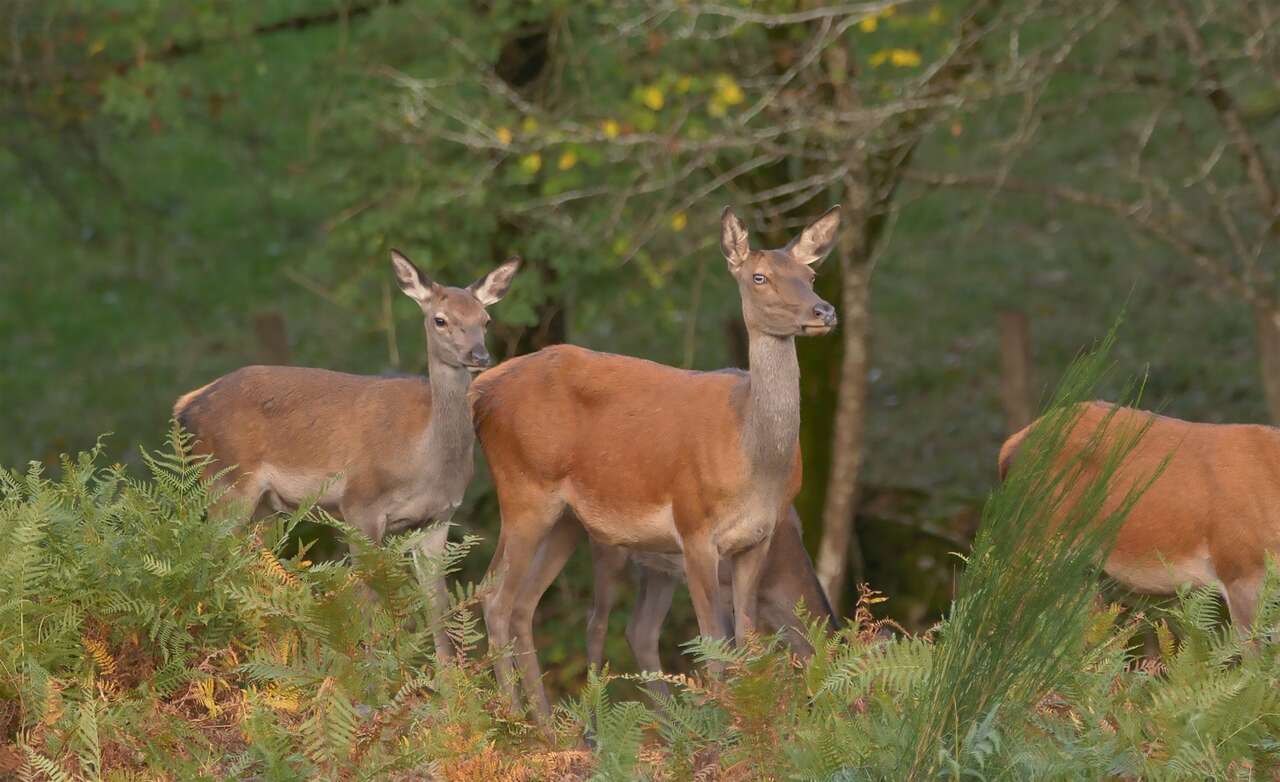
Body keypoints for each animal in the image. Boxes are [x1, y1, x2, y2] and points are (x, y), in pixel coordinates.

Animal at [172, 249, 520, 662]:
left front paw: (447, 677)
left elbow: (437, 605)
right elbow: (366, 599)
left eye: (485, 319)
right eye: (441, 319)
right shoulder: (360, 504)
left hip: (261, 508)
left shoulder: (438, 517)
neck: (423, 459)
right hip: (226, 484)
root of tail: (185, 404)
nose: (479, 355)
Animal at [469, 205, 840, 717]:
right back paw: (518, 720)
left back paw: (548, 723)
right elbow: (714, 644)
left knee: (523, 603)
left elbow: (747, 643)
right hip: (523, 490)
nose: (823, 311)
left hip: (565, 519)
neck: (753, 460)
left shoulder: (757, 538)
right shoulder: (694, 527)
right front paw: (720, 728)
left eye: (810, 274)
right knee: (495, 596)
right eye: (759, 276)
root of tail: (480, 393)